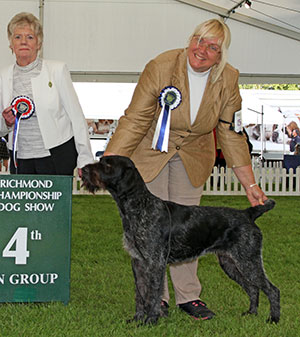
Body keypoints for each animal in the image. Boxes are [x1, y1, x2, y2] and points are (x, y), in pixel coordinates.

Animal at [81, 154, 280, 322]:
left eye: (107, 165)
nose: (83, 169)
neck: (139, 206)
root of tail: (248, 213)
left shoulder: (155, 262)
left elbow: (152, 294)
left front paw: (150, 320)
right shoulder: (138, 262)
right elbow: (140, 294)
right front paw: (137, 319)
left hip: (248, 261)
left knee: (272, 289)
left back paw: (274, 319)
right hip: (231, 263)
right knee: (253, 288)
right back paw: (251, 313)